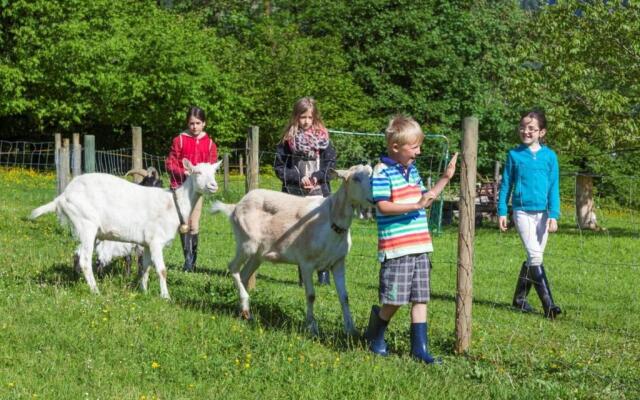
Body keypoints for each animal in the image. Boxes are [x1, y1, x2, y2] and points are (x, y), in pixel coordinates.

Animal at [31, 158, 221, 298]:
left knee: (78, 254)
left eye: (213, 172)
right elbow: (162, 270)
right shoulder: (156, 241)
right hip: (86, 224)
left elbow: (145, 267)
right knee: (85, 259)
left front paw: (144, 291)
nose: (213, 186)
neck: (174, 204)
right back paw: (96, 291)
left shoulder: (146, 243)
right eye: (197, 172)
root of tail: (63, 197)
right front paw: (166, 297)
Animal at [210, 162, 376, 334]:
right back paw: (244, 304)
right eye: (356, 178)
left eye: (372, 174)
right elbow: (311, 295)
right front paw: (312, 327)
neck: (332, 220)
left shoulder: (338, 262)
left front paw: (350, 329)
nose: (375, 197)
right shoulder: (306, 262)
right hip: (247, 242)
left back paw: (245, 312)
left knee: (243, 274)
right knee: (232, 267)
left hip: (257, 254)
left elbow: (344, 297)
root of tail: (235, 206)